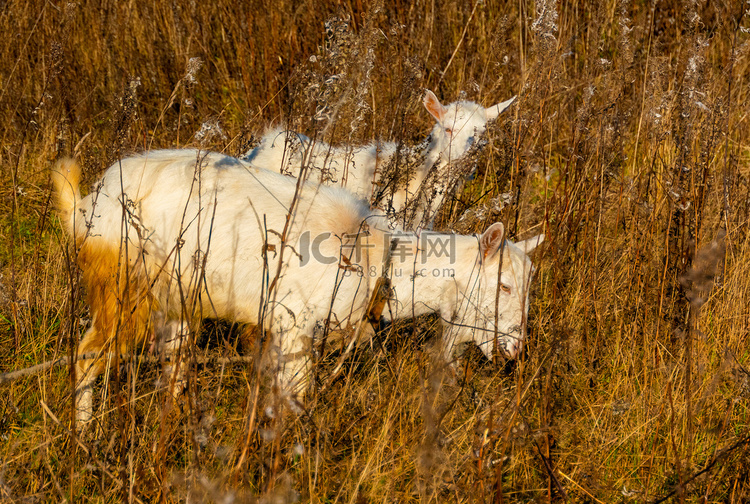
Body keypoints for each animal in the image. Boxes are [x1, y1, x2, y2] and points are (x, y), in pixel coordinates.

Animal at [54, 149, 548, 422]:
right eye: (504, 286)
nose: (515, 349)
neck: (379, 263)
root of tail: (88, 204)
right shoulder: (294, 328)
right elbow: (298, 399)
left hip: (179, 300)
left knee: (172, 367)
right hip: (126, 286)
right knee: (87, 355)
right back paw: (84, 440)